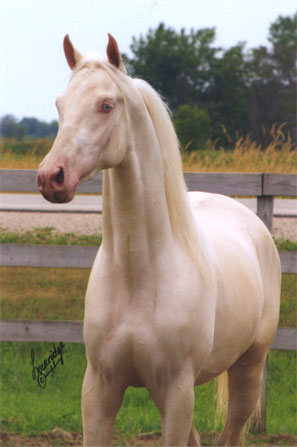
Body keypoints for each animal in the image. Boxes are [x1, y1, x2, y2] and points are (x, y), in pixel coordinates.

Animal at [37, 35, 280, 447]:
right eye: (60, 104)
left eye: (106, 105)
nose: (51, 176)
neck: (138, 274)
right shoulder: (99, 389)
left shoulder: (177, 390)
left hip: (247, 368)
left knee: (233, 429)